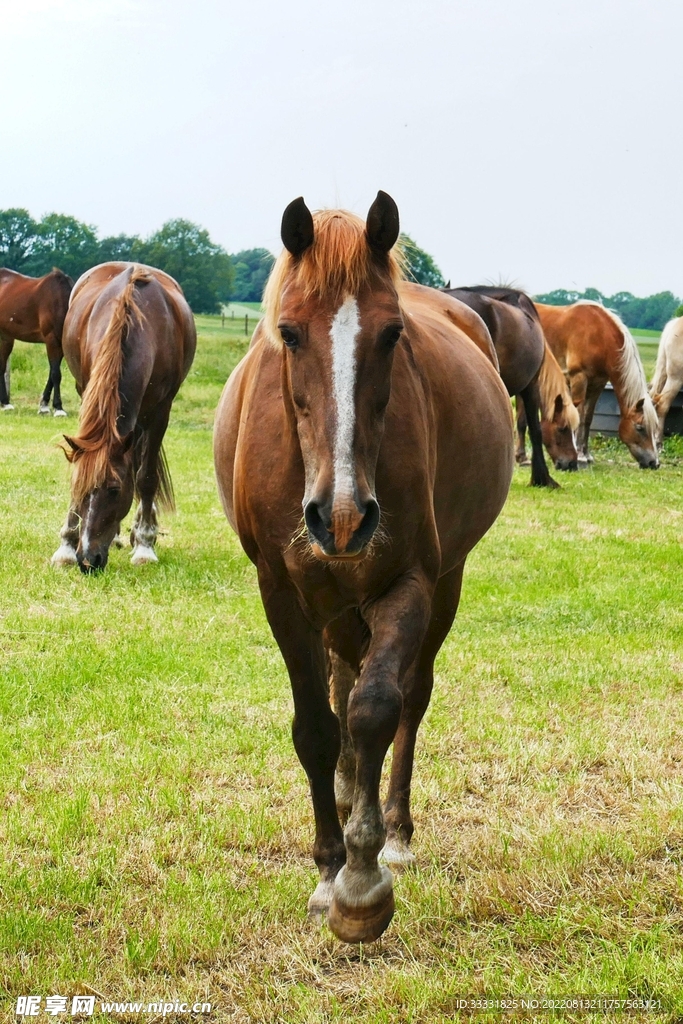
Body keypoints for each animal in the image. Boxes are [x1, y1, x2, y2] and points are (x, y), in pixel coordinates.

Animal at [0, 267, 74, 415]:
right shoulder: (52, 340)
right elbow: (56, 374)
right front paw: (58, 408)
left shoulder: (60, 345)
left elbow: (52, 373)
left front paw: (44, 405)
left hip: (6, 338)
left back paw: (5, 403)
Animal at [51, 262, 196, 572]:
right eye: (81, 488)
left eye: (115, 490)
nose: (87, 560)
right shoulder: (87, 395)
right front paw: (66, 545)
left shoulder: (160, 413)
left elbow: (146, 478)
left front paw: (144, 545)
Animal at [214, 193, 514, 944]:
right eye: (288, 333)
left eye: (391, 334)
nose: (342, 517)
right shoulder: (282, 593)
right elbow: (316, 728)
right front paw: (328, 870)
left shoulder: (408, 582)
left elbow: (378, 707)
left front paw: (362, 879)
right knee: (340, 684)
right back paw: (351, 795)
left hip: (444, 583)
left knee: (406, 694)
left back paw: (393, 829)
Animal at [534, 301, 659, 468]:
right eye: (640, 427)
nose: (654, 463)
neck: (599, 335)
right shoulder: (579, 378)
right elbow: (578, 416)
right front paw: (579, 455)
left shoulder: (598, 384)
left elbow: (587, 419)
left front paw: (586, 454)